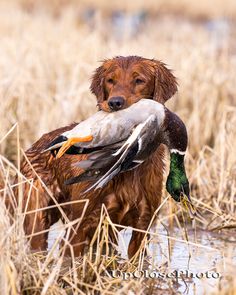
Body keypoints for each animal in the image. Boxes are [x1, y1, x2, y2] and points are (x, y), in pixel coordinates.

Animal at [14, 56, 177, 260]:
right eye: (110, 80)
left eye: (139, 80)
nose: (115, 103)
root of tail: (35, 146)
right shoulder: (80, 225)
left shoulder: (142, 224)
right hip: (37, 214)